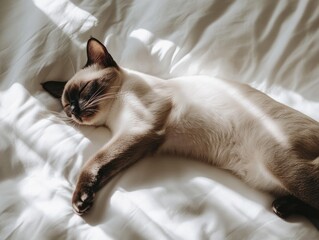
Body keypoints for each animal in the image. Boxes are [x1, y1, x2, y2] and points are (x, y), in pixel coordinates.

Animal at [42, 36, 319, 222]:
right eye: (66, 105)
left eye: (84, 90)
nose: (75, 111)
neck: (114, 115)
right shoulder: (138, 141)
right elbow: (106, 165)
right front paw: (84, 199)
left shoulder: (139, 131)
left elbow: (94, 162)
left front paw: (80, 199)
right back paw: (282, 207)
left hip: (280, 165)